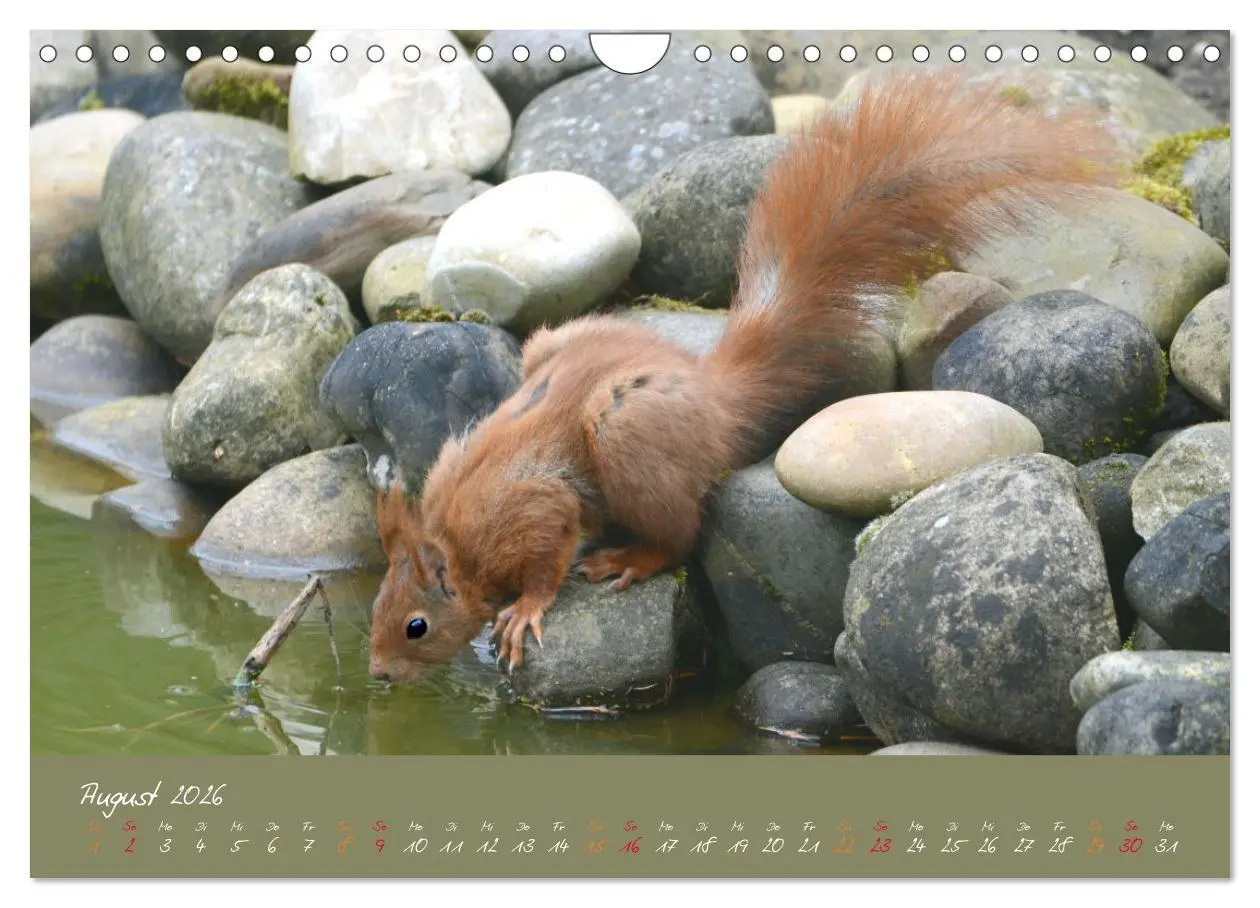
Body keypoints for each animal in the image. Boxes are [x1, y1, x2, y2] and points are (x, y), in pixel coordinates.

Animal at [368, 69, 1122, 683]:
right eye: (373, 605)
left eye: (416, 625)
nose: (375, 673)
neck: (458, 541)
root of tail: (713, 393)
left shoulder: (532, 511)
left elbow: (547, 561)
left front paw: (523, 612)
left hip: (627, 431)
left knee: (681, 531)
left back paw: (630, 558)